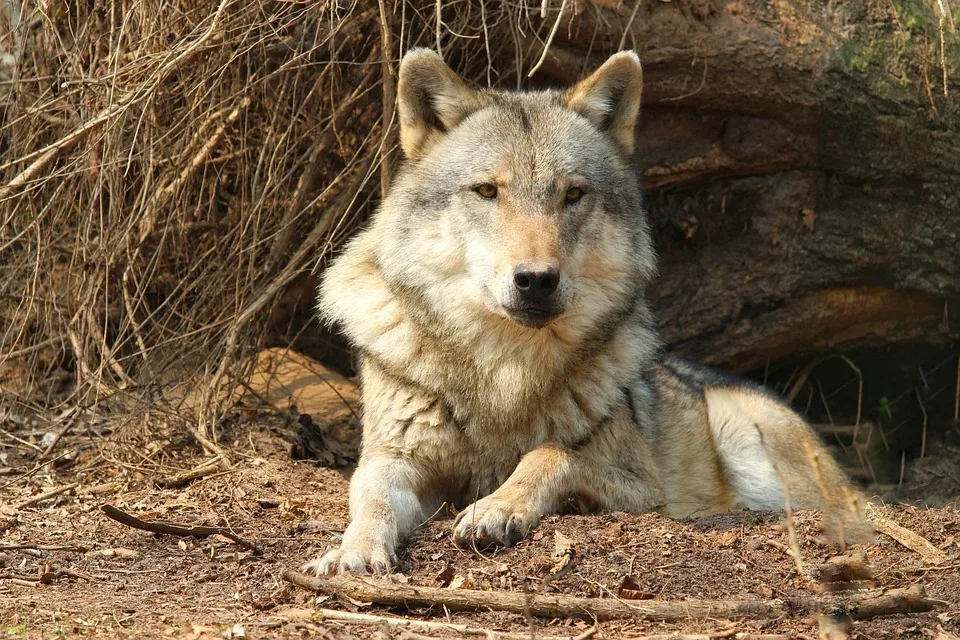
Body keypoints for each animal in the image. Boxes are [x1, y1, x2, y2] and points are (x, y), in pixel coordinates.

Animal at [306, 48, 864, 576]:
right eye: (487, 191)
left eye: (573, 194)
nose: (536, 279)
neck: (504, 373)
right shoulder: (392, 459)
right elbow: (371, 501)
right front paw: (353, 552)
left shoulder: (644, 489)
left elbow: (550, 453)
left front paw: (497, 507)